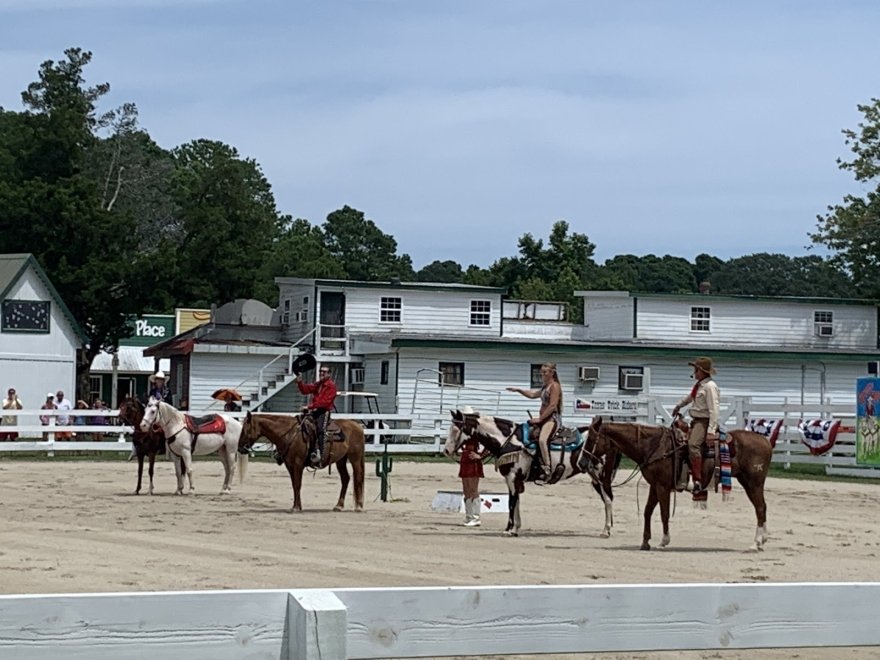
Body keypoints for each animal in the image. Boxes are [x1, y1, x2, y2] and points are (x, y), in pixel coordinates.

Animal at [235, 410, 366, 512]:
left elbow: (298, 484)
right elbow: (294, 485)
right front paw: (296, 506)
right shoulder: (289, 465)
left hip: (355, 458)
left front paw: (296, 507)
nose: (240, 448)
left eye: (245, 429)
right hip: (341, 460)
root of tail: (358, 425)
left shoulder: (298, 464)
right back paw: (339, 506)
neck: (289, 434)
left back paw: (359, 506)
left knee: (358, 478)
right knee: (345, 479)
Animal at [444, 410, 624, 540]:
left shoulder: (512, 477)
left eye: (456, 429)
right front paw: (516, 528)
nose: (446, 450)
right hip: (595, 478)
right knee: (606, 499)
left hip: (602, 476)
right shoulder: (514, 480)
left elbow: (511, 503)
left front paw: (509, 530)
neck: (510, 441)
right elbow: (516, 502)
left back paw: (606, 531)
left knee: (608, 499)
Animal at [592, 418, 768, 552]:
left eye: (592, 440)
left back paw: (755, 544)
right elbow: (648, 511)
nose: (587, 461)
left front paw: (664, 541)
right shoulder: (654, 485)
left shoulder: (662, 487)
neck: (653, 445)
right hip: (747, 482)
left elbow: (664, 513)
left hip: (754, 483)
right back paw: (762, 540)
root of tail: (766, 441)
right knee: (762, 507)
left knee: (759, 508)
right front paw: (645, 542)